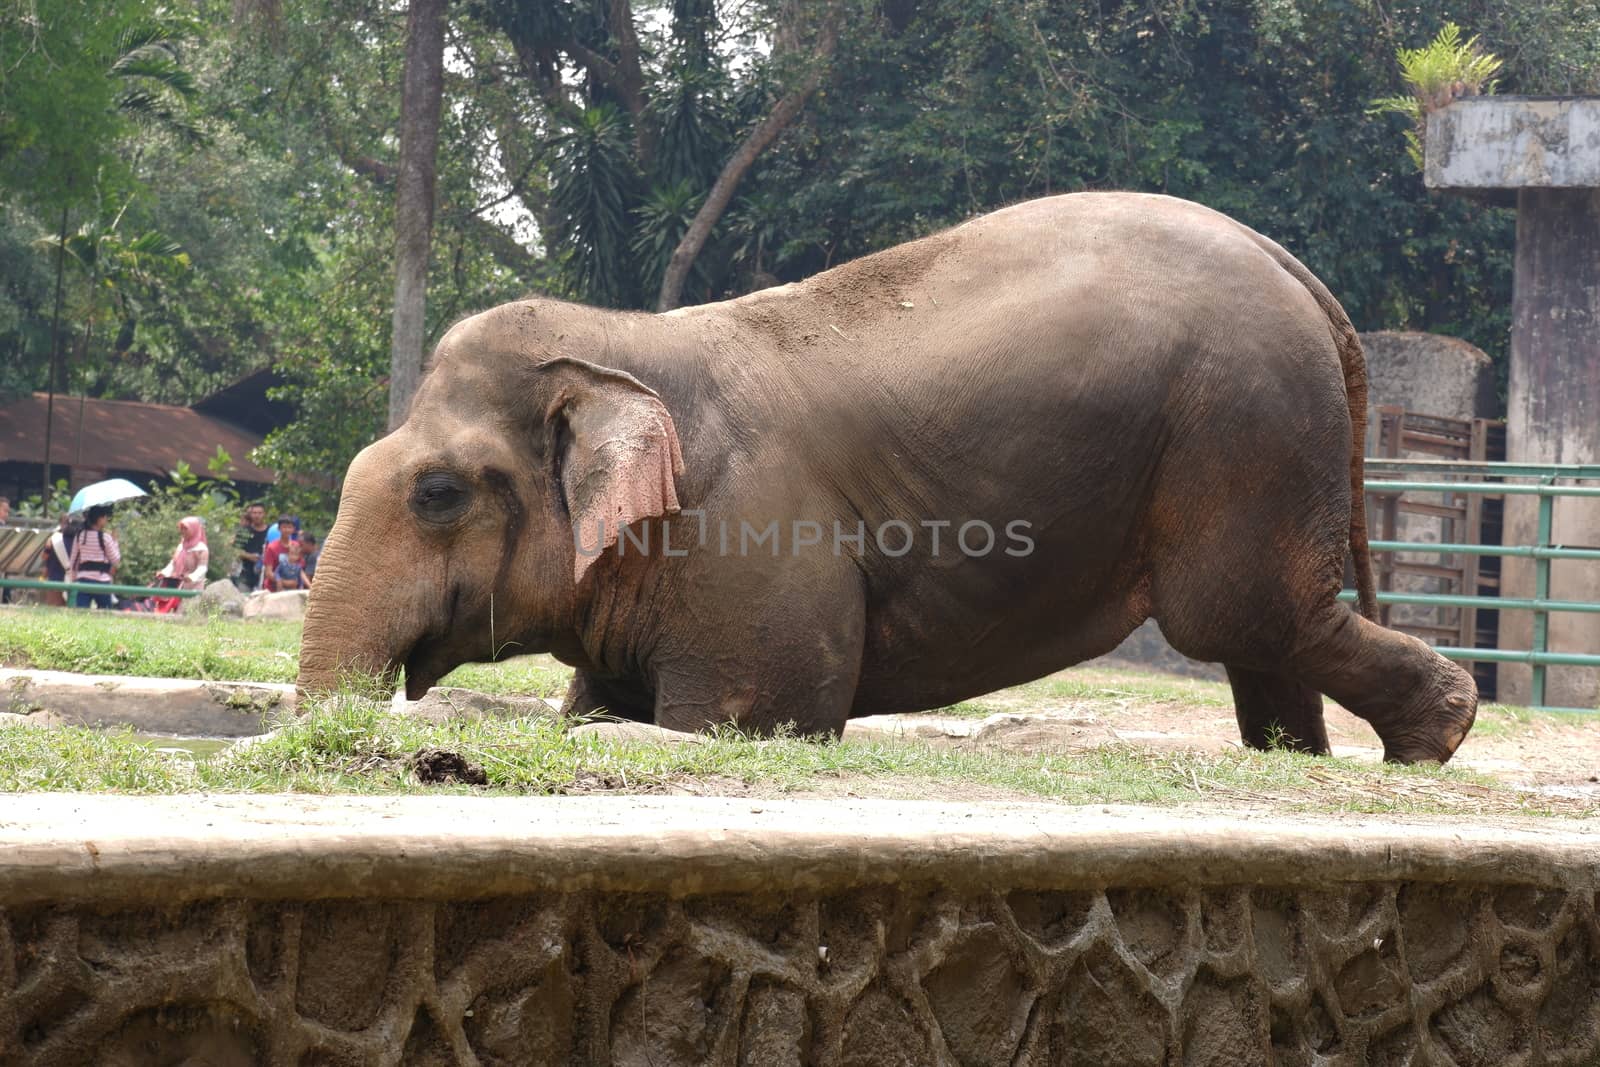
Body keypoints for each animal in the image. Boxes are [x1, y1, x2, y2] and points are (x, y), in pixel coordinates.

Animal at [297, 189, 1472, 758]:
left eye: (437, 493)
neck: (619, 341)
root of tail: (1301, 275)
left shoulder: (754, 545)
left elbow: (740, 721)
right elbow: (592, 712)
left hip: (1241, 429)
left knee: (1238, 613)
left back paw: (1437, 735)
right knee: (1261, 633)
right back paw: (1302, 757)